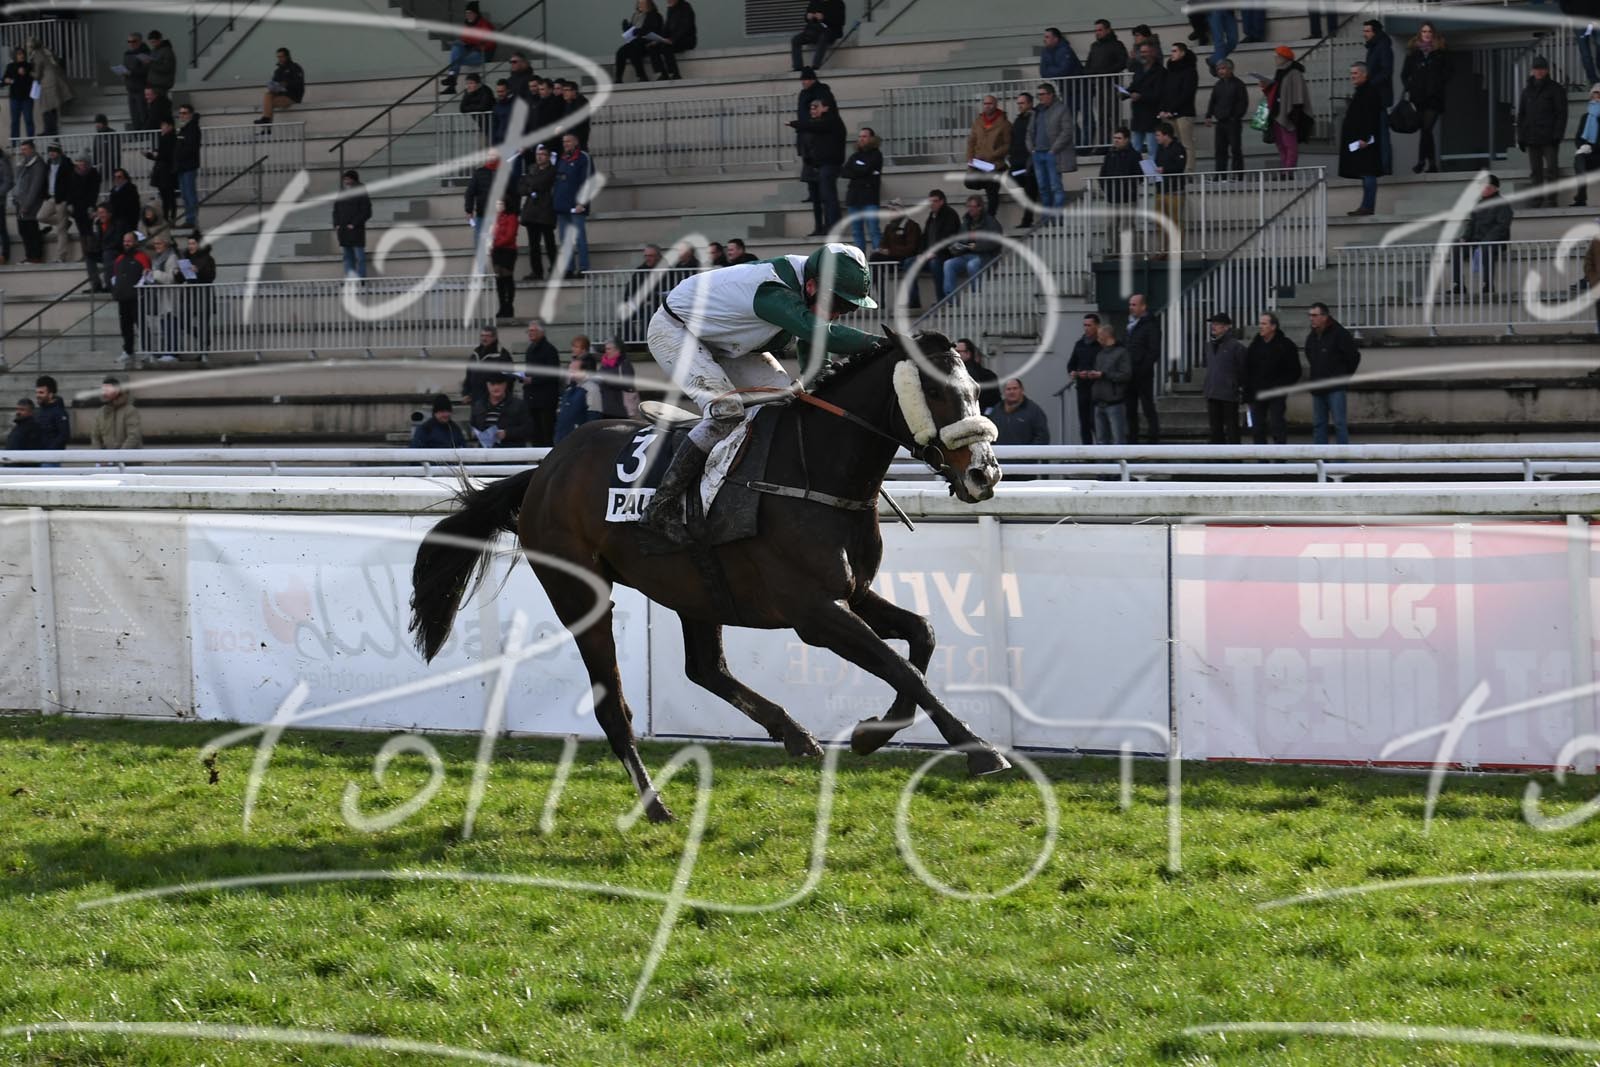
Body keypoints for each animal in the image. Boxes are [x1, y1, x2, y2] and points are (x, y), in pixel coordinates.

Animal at [409, 329, 1007, 823]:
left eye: (976, 389)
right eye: (936, 394)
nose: (984, 474)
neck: (814, 473)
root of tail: (545, 470)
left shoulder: (853, 594)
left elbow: (921, 638)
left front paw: (872, 734)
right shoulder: (813, 612)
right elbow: (897, 666)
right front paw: (977, 748)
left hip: (693, 590)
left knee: (705, 668)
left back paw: (793, 735)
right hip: (580, 592)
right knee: (614, 706)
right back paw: (656, 805)